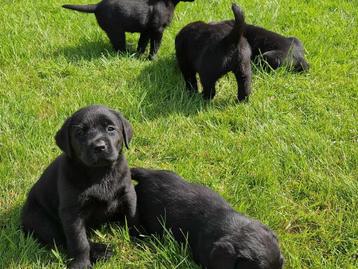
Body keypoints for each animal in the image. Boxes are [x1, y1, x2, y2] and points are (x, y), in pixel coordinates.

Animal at [21, 104, 138, 268]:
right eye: (80, 132)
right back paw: (101, 251)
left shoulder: (128, 193)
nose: (99, 146)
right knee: (62, 239)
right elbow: (79, 241)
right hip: (41, 221)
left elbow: (132, 215)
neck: (99, 173)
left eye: (110, 128)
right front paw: (81, 264)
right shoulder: (72, 213)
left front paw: (140, 237)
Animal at [62, 0, 194, 59]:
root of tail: (97, 5)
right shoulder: (158, 30)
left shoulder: (146, 31)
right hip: (117, 32)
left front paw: (140, 55)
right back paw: (127, 53)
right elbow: (155, 46)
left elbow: (142, 44)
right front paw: (152, 59)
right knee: (119, 47)